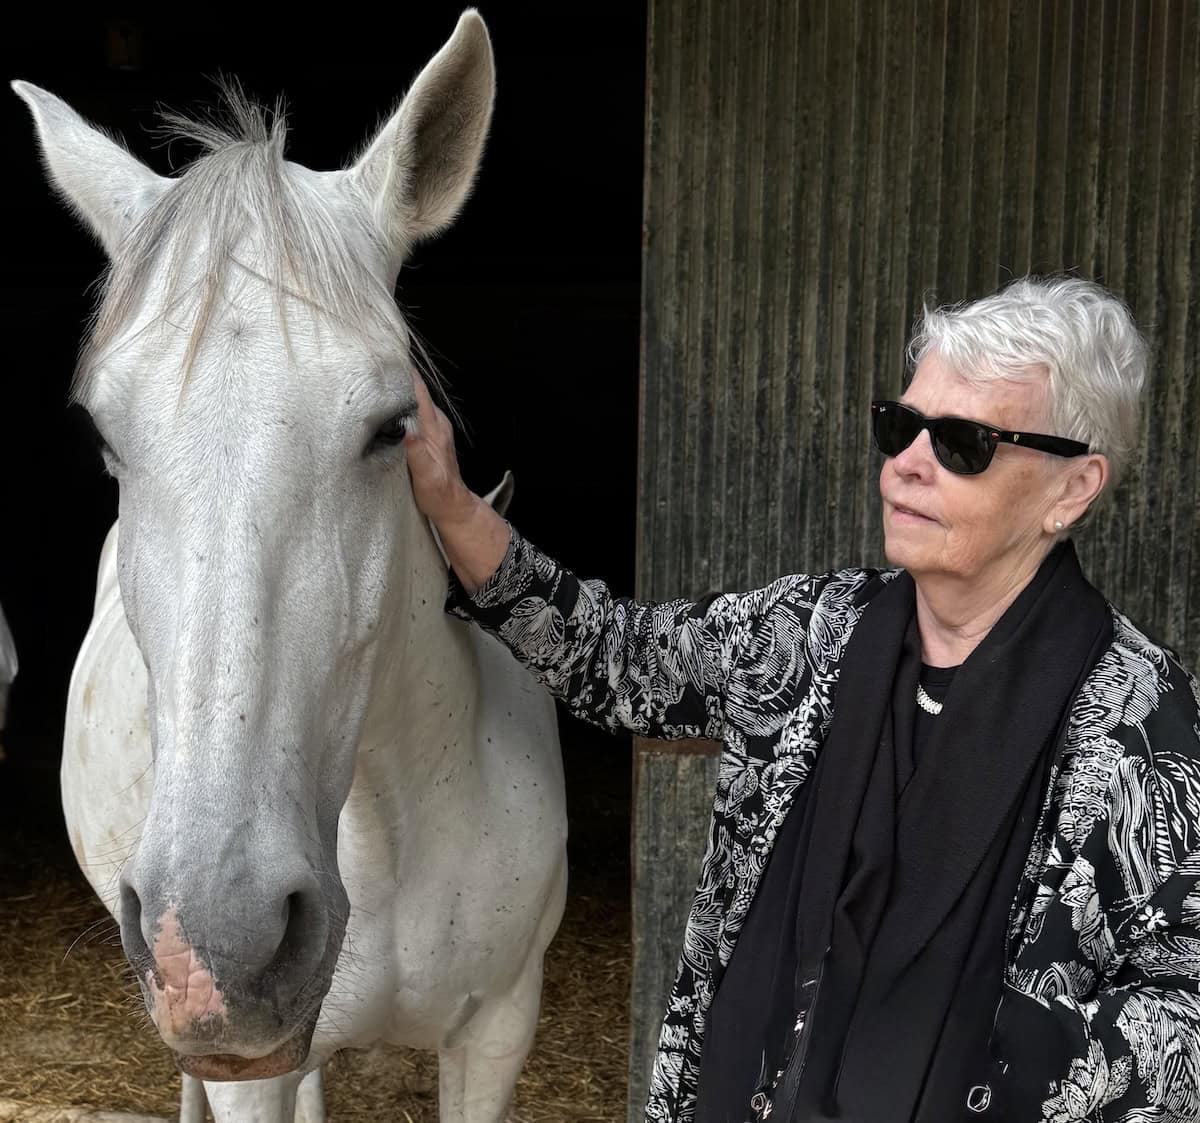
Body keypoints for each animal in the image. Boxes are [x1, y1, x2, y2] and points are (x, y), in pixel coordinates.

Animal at [14, 10, 568, 1121]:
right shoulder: (256, 1073)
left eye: (394, 425)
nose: (215, 943)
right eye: (103, 436)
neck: (390, 821)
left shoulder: (497, 1033)